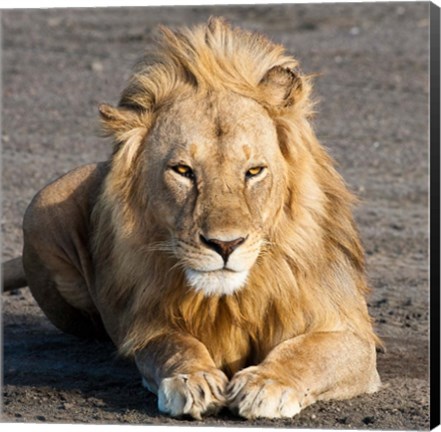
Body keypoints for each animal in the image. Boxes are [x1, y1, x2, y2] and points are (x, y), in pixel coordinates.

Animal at [2, 18, 382, 420]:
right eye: (183, 171)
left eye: (254, 171)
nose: (225, 245)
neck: (230, 300)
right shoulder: (147, 325)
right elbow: (173, 345)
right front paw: (192, 380)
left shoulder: (353, 337)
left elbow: (305, 353)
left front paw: (267, 384)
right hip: (42, 206)